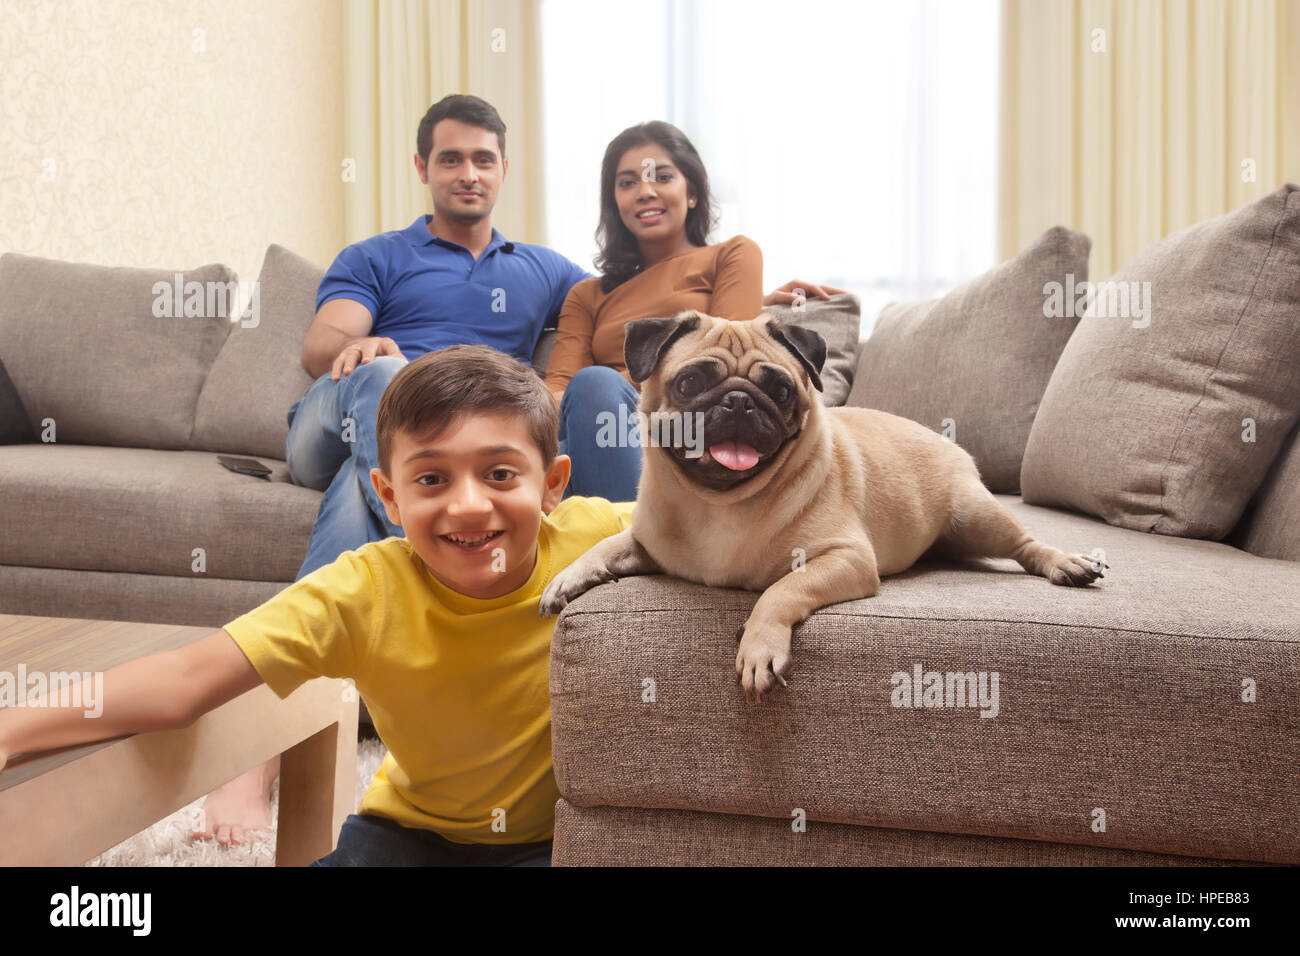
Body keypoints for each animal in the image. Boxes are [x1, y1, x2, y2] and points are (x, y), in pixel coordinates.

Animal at [538, 314, 1107, 697]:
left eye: (780, 388)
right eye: (690, 382)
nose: (739, 400)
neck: (722, 502)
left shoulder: (846, 559)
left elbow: (781, 591)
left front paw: (759, 647)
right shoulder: (648, 543)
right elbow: (605, 546)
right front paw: (567, 578)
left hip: (977, 516)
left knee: (1027, 543)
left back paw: (1067, 563)